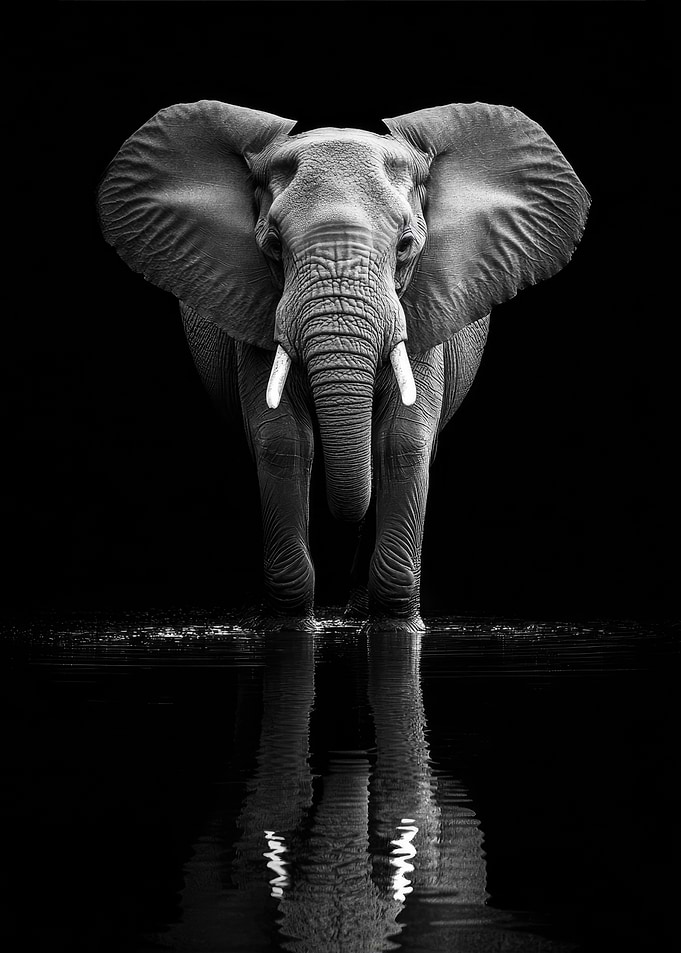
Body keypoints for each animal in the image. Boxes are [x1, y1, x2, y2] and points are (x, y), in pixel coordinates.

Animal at [98, 100, 590, 630]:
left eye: (406, 246)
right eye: (273, 246)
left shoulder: (424, 306)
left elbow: (402, 440)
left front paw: (396, 626)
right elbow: (283, 440)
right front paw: (290, 625)